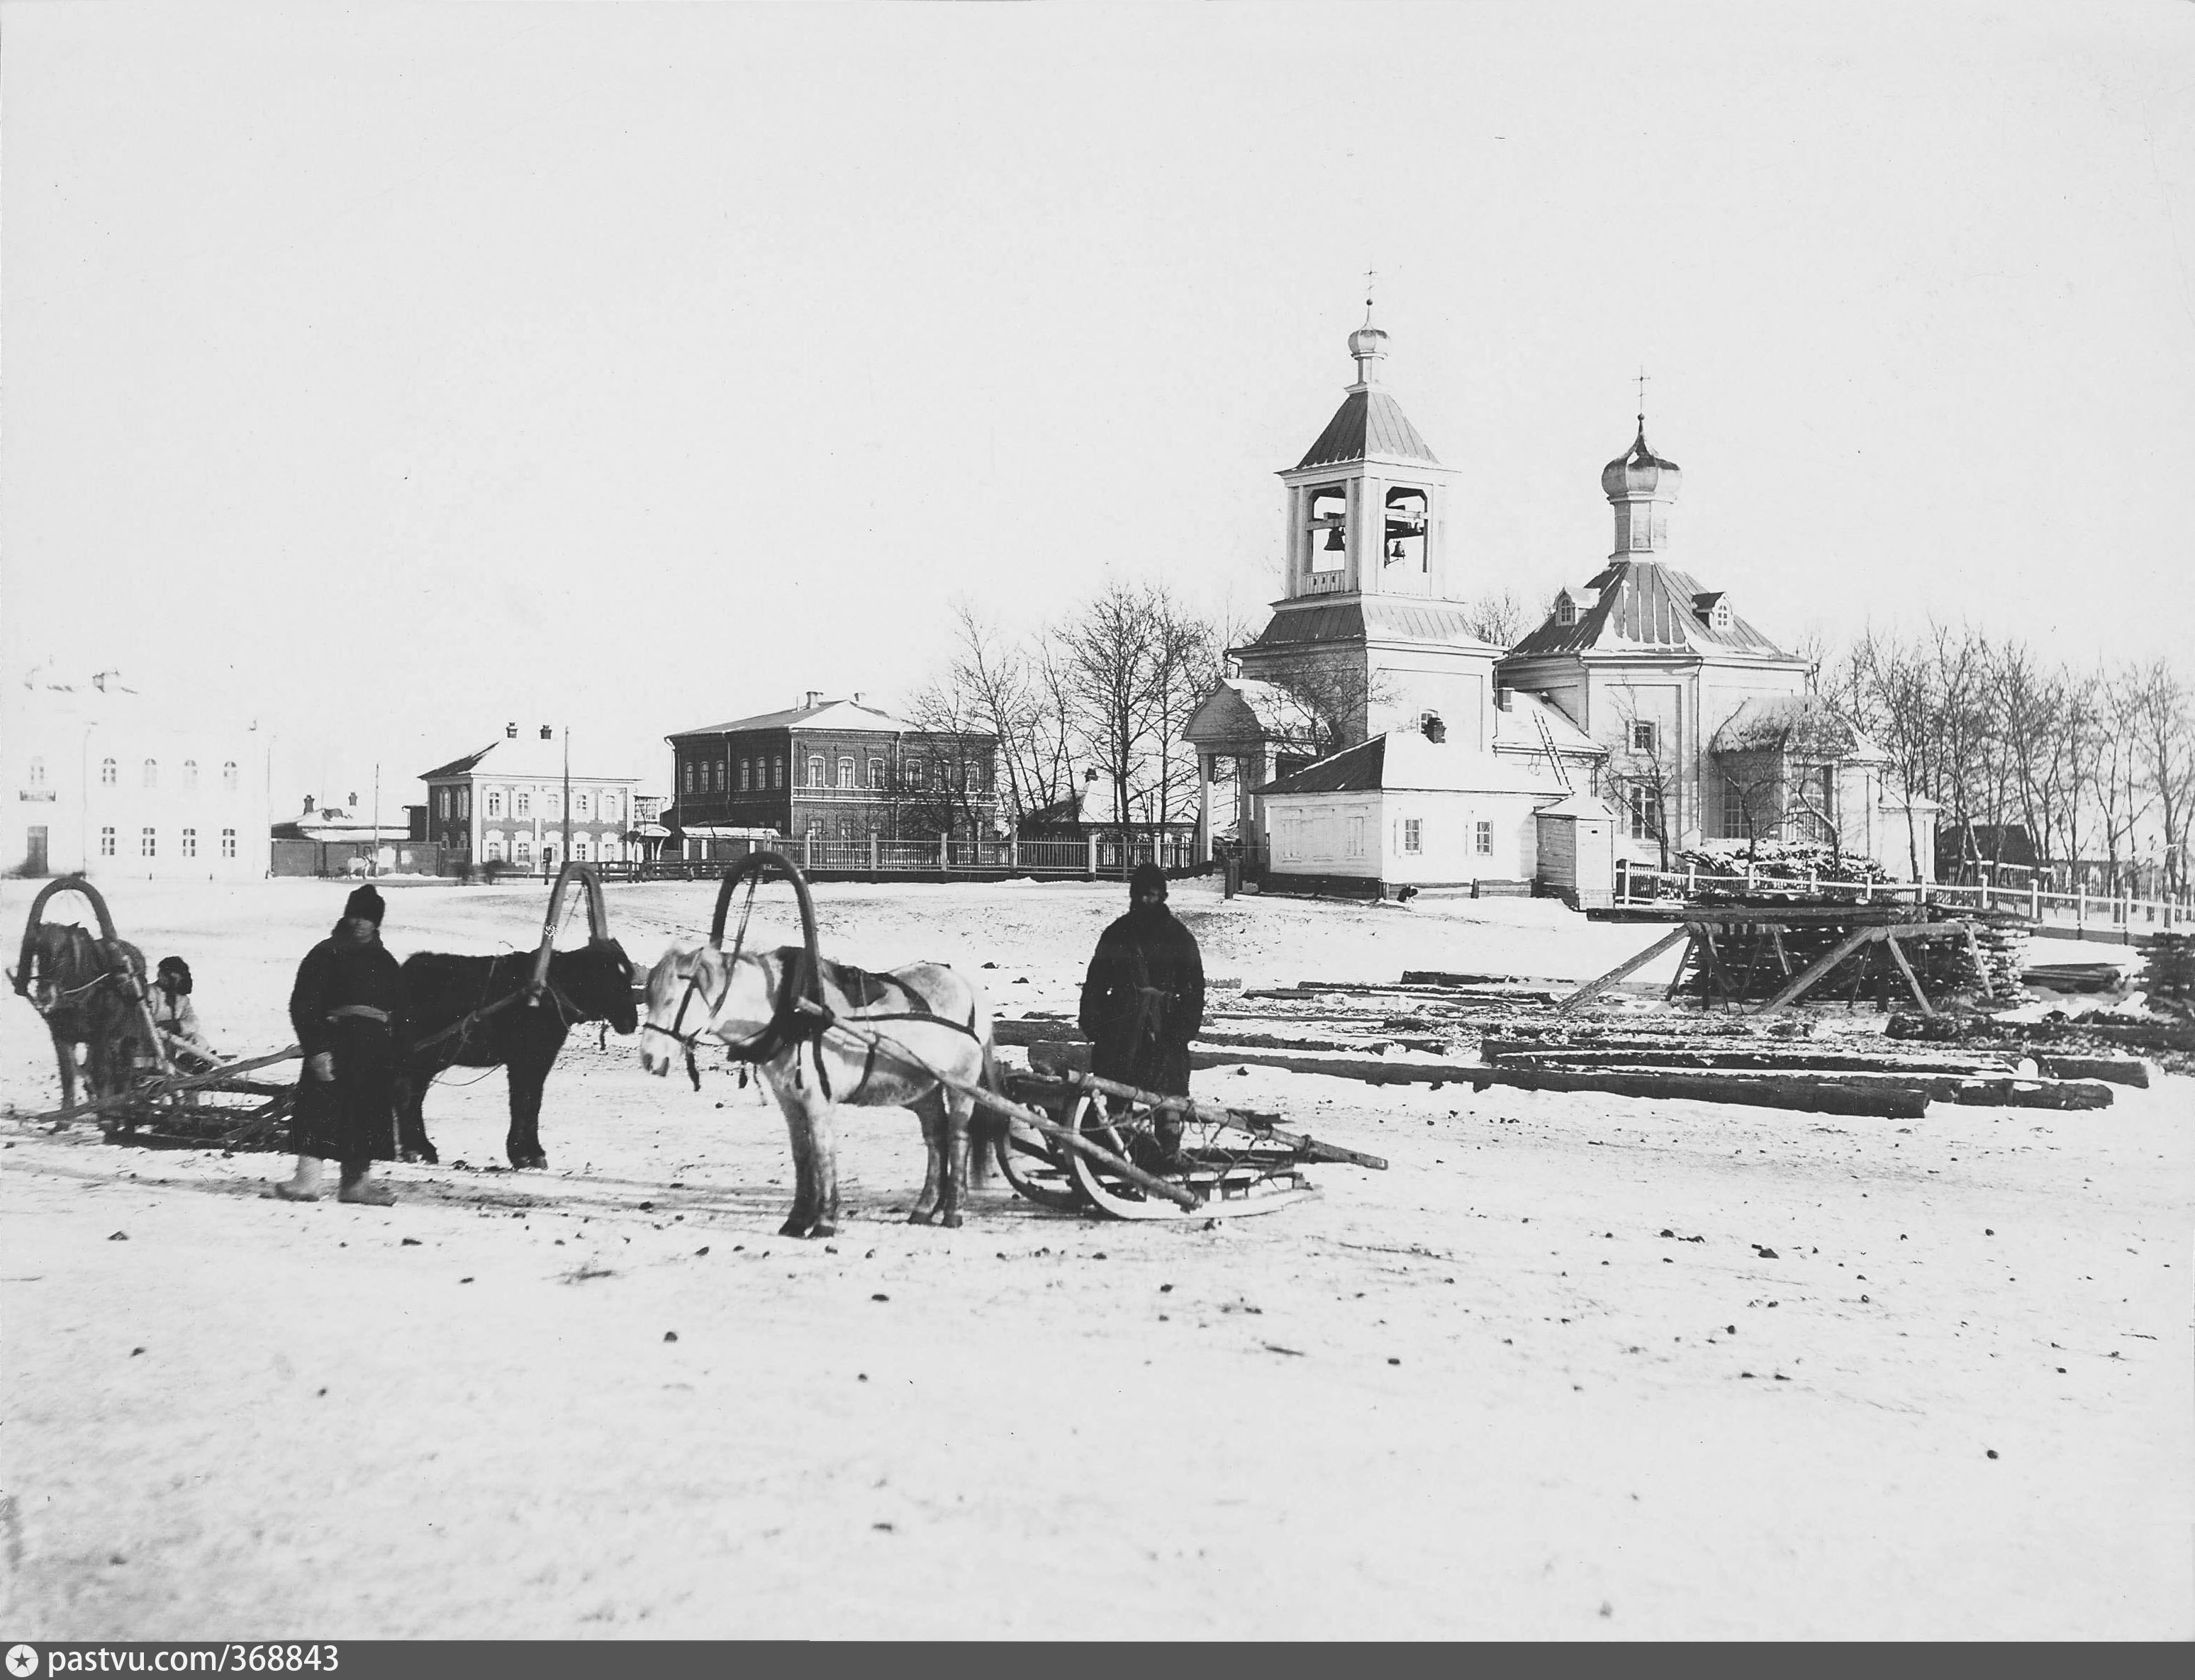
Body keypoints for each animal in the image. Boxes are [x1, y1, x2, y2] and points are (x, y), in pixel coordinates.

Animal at [397, 947, 641, 1175]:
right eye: (608, 977)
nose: (631, 1021)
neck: (547, 995)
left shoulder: (539, 1062)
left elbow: (532, 1103)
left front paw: (529, 1153)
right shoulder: (525, 1061)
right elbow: (523, 1104)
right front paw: (526, 1155)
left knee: (412, 1098)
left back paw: (418, 1149)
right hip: (421, 1059)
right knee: (409, 1099)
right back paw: (416, 1150)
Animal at [641, 947, 1005, 1237]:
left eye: (672, 999)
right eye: (649, 998)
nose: (649, 1058)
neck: (792, 1014)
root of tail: (968, 987)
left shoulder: (819, 1099)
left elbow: (823, 1153)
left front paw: (825, 1222)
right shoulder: (789, 1101)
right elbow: (802, 1155)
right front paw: (796, 1221)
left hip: (961, 1085)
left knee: (958, 1138)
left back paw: (953, 1212)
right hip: (923, 1089)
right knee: (935, 1138)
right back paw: (924, 1208)